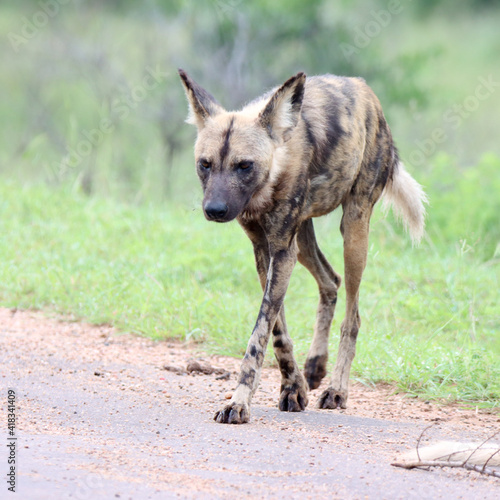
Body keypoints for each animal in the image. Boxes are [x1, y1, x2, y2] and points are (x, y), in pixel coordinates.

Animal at [179, 69, 426, 422]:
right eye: (205, 164)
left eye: (244, 165)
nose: (214, 210)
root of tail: (363, 87)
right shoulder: (266, 250)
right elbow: (277, 333)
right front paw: (293, 387)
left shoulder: (282, 250)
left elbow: (259, 336)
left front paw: (238, 402)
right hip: (304, 242)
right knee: (331, 281)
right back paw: (315, 366)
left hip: (353, 230)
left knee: (352, 317)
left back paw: (336, 390)